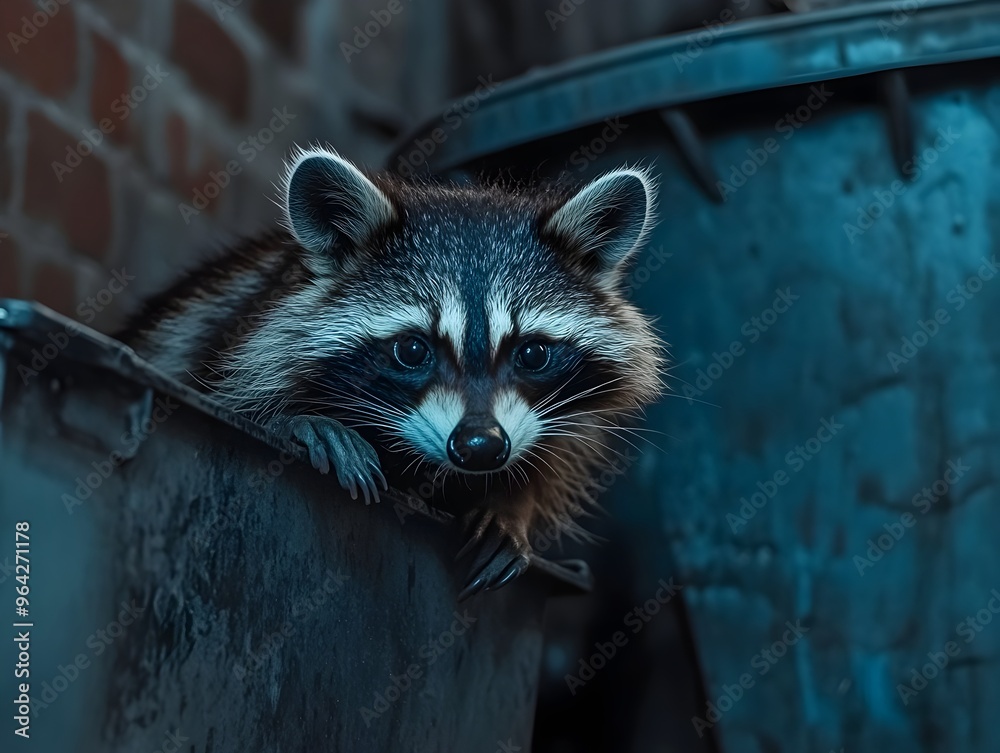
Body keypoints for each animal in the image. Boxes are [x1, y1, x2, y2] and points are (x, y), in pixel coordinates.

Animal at [122, 147, 665, 599]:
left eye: (532, 354)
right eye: (411, 350)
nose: (480, 447)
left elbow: (550, 460)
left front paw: (514, 504)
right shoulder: (243, 331)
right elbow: (231, 397)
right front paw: (300, 421)